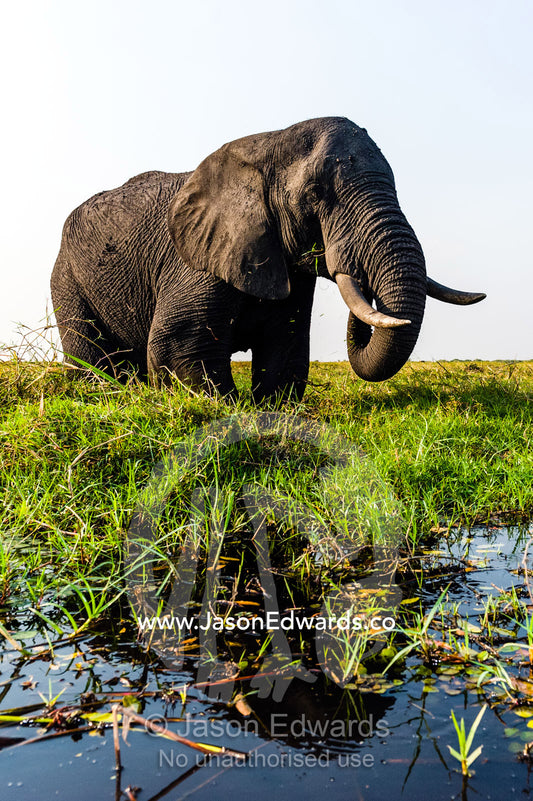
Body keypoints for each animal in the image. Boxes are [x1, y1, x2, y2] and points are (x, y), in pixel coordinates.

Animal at [51, 116, 485, 402]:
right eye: (314, 194)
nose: (362, 277)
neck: (266, 144)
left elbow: (286, 348)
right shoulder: (196, 260)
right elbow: (179, 343)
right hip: (66, 280)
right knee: (92, 355)